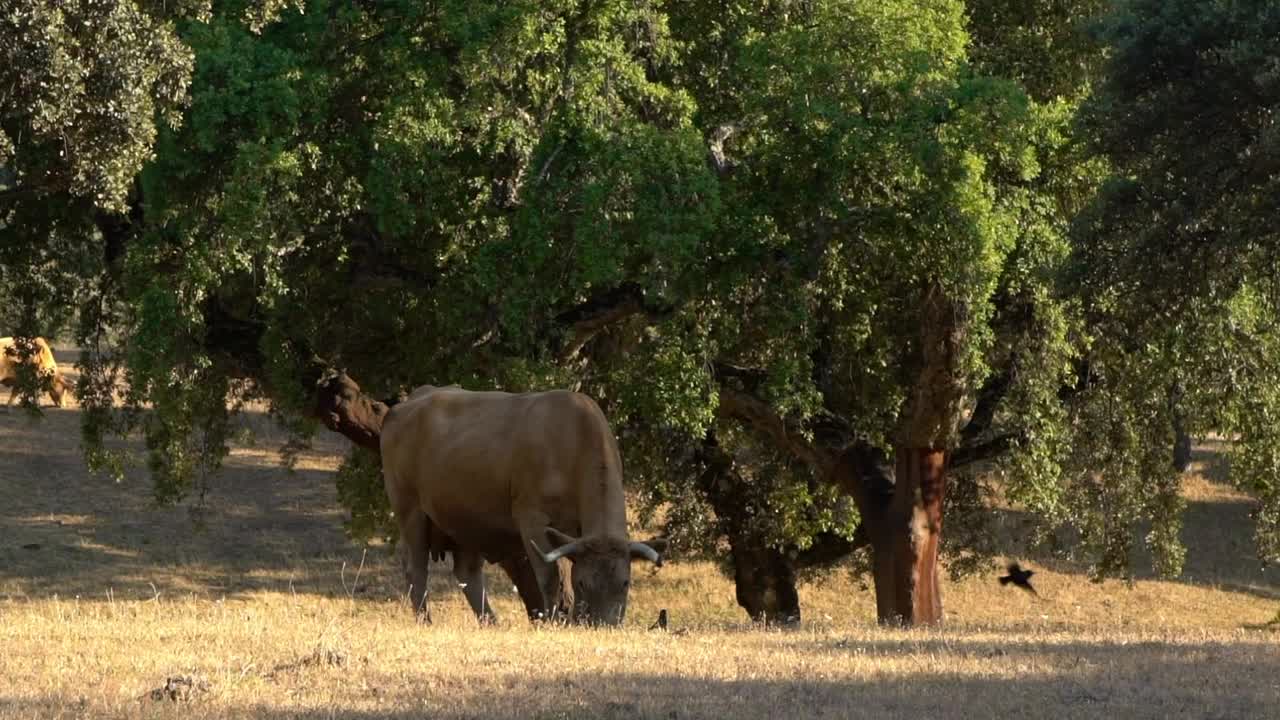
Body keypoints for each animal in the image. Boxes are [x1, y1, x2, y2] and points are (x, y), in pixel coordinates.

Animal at [378, 384, 665, 625]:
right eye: (583, 583)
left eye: (625, 583)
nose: (602, 624)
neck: (573, 441)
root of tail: (407, 402)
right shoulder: (532, 520)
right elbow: (550, 576)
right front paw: (554, 620)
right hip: (411, 512)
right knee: (416, 569)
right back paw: (425, 621)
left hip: (466, 520)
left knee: (467, 573)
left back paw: (491, 623)